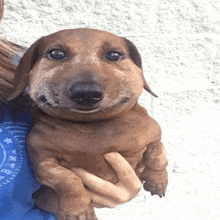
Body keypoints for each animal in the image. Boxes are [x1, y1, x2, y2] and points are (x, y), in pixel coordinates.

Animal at [7, 28, 168, 219]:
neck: (91, 124)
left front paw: (157, 181)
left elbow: (158, 156)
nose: (86, 93)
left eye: (114, 55)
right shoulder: (42, 163)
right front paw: (76, 209)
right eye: (56, 54)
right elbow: (67, 179)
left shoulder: (153, 136)